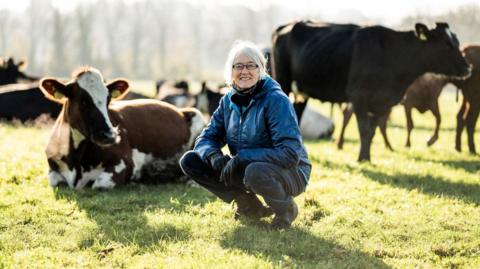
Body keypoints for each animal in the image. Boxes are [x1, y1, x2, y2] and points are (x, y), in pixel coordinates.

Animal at [40, 66, 204, 188]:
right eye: (83, 100)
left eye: (108, 100)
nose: (109, 135)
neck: (76, 161)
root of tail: (180, 110)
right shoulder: (52, 169)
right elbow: (55, 181)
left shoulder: (124, 164)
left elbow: (99, 184)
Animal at [272, 21, 470, 161]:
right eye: (446, 44)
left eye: (457, 42)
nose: (468, 67)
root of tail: (286, 26)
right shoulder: (359, 96)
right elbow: (364, 129)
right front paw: (362, 158)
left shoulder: (385, 101)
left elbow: (373, 130)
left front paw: (366, 157)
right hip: (284, 82)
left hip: (301, 92)